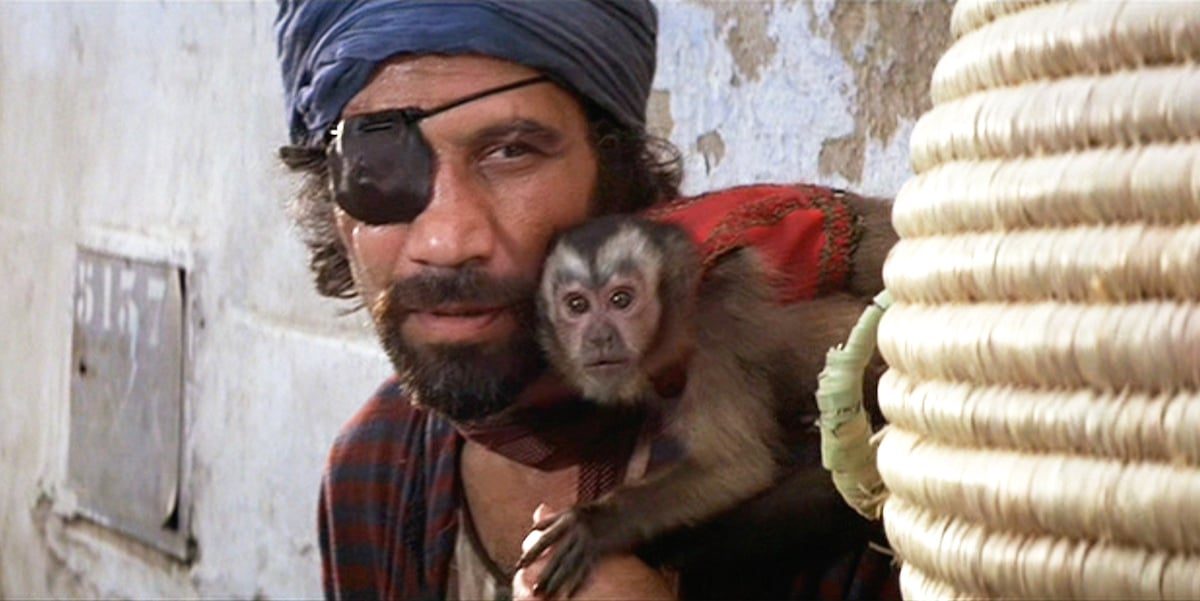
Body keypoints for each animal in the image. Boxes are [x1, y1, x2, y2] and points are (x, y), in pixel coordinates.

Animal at [518, 213, 889, 598]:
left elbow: (738, 466)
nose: (598, 338)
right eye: (577, 305)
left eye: (621, 299)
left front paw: (597, 522)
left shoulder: (712, 330)